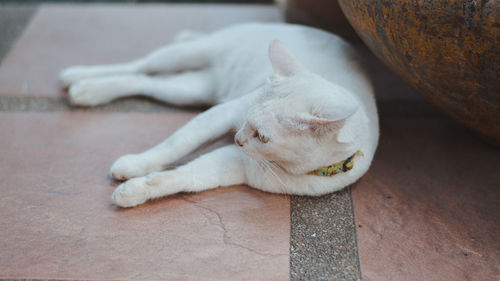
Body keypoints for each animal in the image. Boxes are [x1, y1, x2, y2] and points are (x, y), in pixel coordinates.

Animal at [59, 23, 378, 207]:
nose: (237, 139)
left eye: (263, 137)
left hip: (188, 90)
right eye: (246, 120)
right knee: (141, 65)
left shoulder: (234, 165)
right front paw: (136, 164)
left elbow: (182, 177)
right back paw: (76, 77)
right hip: (189, 55)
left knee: (143, 82)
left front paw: (134, 191)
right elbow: (174, 145)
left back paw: (86, 90)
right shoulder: (222, 114)